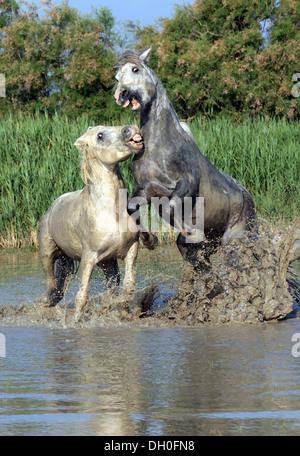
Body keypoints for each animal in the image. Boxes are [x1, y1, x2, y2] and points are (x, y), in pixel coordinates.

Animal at [38, 123, 144, 318]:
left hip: (105, 262)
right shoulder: (88, 257)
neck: (112, 212)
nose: (131, 128)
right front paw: (77, 319)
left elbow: (128, 285)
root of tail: (53, 205)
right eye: (100, 136)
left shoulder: (131, 247)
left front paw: (124, 312)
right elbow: (82, 295)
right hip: (47, 253)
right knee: (51, 285)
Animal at [114, 47, 258, 270]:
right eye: (117, 76)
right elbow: (131, 207)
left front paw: (191, 232)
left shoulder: (186, 185)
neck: (160, 148)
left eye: (135, 69)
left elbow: (171, 206)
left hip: (235, 241)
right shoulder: (146, 190)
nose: (120, 94)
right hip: (210, 244)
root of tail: (247, 197)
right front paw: (150, 241)